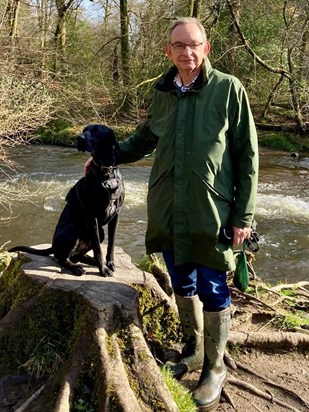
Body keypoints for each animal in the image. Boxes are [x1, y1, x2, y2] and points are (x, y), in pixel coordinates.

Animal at [9, 124, 125, 276]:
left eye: (96, 131)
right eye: (84, 130)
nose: (79, 138)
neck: (106, 172)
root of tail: (53, 245)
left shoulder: (115, 215)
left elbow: (111, 244)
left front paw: (109, 263)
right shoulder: (91, 215)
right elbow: (98, 248)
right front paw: (103, 269)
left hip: (100, 231)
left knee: (76, 255)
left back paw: (89, 261)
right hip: (72, 229)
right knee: (60, 258)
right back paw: (76, 267)